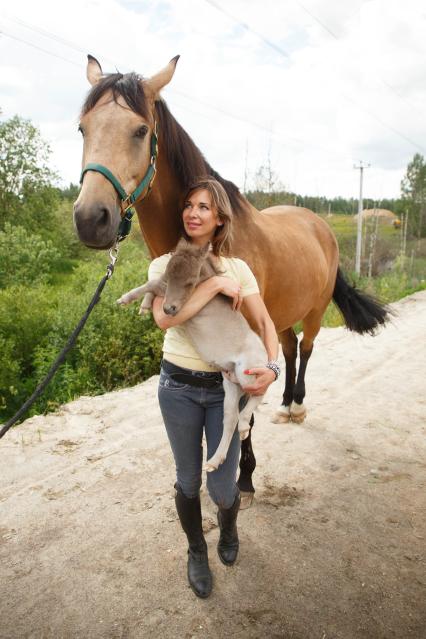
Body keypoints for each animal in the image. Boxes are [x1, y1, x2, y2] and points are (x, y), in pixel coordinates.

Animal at [118, 240, 268, 470]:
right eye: (169, 275)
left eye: (189, 282)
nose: (168, 309)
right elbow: (154, 284)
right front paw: (143, 306)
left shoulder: (186, 305)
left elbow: (152, 284)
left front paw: (126, 299)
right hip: (230, 384)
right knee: (230, 418)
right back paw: (214, 461)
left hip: (248, 373)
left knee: (259, 393)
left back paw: (244, 426)